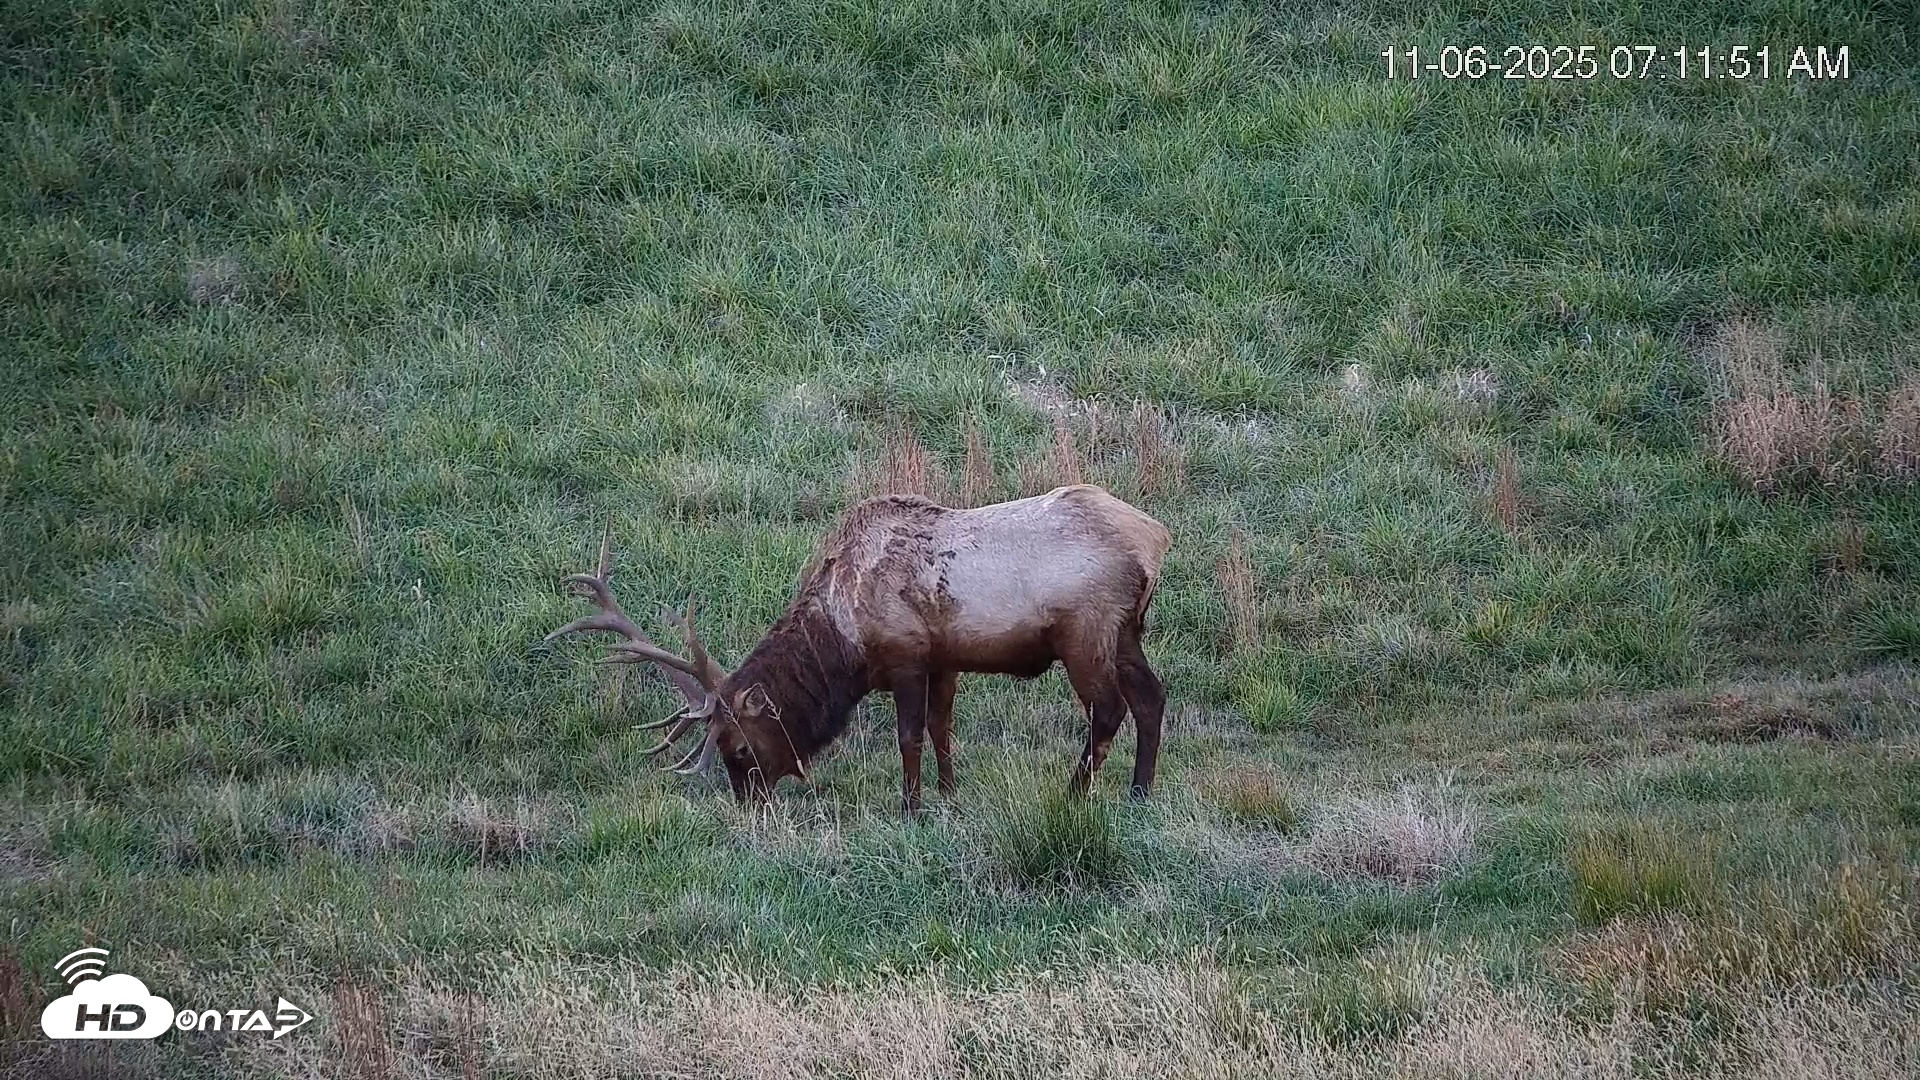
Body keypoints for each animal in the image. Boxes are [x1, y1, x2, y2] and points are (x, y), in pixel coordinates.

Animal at [544, 484, 1171, 813]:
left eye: (740, 747)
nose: (750, 808)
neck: (844, 643)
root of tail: (1157, 538)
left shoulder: (906, 655)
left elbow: (910, 735)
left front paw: (912, 808)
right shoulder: (945, 659)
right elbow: (942, 729)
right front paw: (948, 795)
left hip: (1085, 631)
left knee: (1108, 708)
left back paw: (1075, 795)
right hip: (1127, 632)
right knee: (1151, 698)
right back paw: (1140, 795)